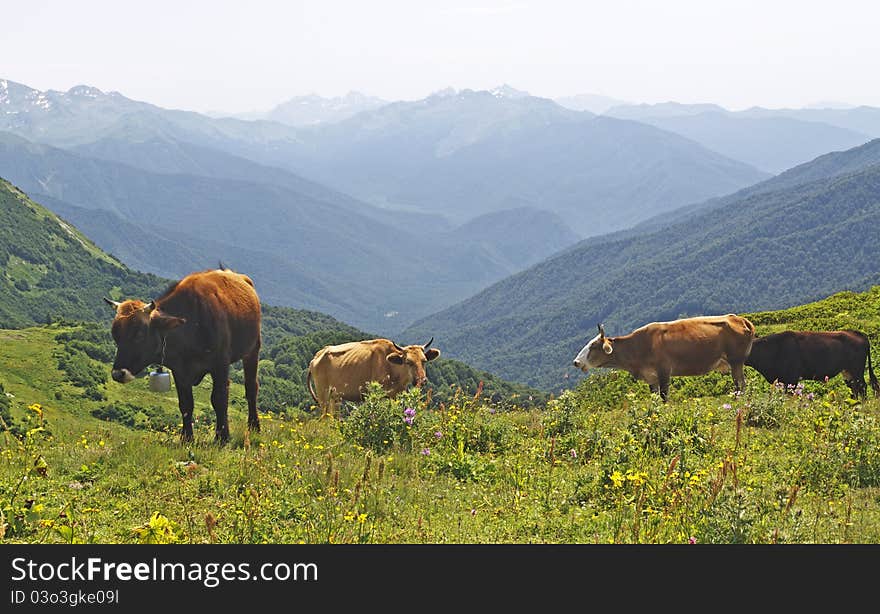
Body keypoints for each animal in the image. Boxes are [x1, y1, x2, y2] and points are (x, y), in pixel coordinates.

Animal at [104, 270, 262, 442]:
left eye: (139, 334)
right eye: (115, 334)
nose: (118, 373)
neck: (191, 327)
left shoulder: (220, 364)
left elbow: (219, 399)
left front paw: (222, 438)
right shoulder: (179, 370)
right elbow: (185, 404)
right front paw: (187, 438)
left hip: (253, 349)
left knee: (251, 388)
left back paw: (254, 427)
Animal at [306, 336, 440, 418]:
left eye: (424, 360)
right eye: (408, 362)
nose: (422, 380)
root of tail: (317, 356)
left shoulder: (396, 394)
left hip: (335, 397)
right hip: (323, 393)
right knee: (325, 417)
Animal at [572, 316, 756, 402]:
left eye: (593, 346)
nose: (576, 362)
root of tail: (739, 319)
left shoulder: (664, 371)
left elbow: (664, 396)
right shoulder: (650, 377)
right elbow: (655, 398)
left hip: (736, 360)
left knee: (740, 383)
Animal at [744, 332, 880, 400]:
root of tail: (860, 334)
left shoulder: (792, 378)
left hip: (857, 370)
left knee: (862, 387)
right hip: (847, 371)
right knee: (854, 388)